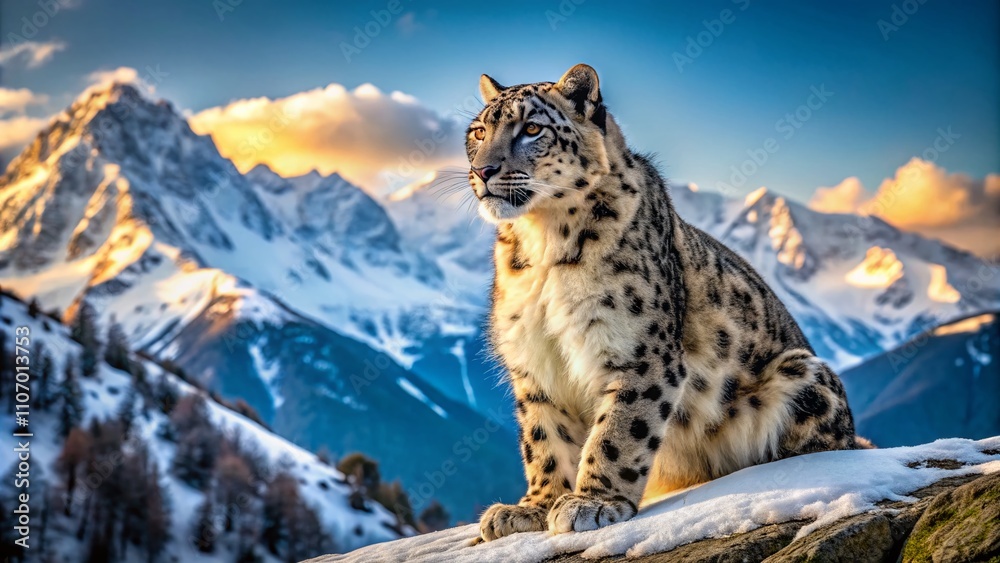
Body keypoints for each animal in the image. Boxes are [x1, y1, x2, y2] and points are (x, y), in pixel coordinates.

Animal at [465, 64, 869, 542]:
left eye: (531, 129)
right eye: (478, 131)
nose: (482, 169)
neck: (542, 243)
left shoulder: (637, 352)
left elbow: (618, 430)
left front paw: (592, 502)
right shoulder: (534, 360)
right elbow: (545, 437)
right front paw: (532, 508)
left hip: (803, 376)